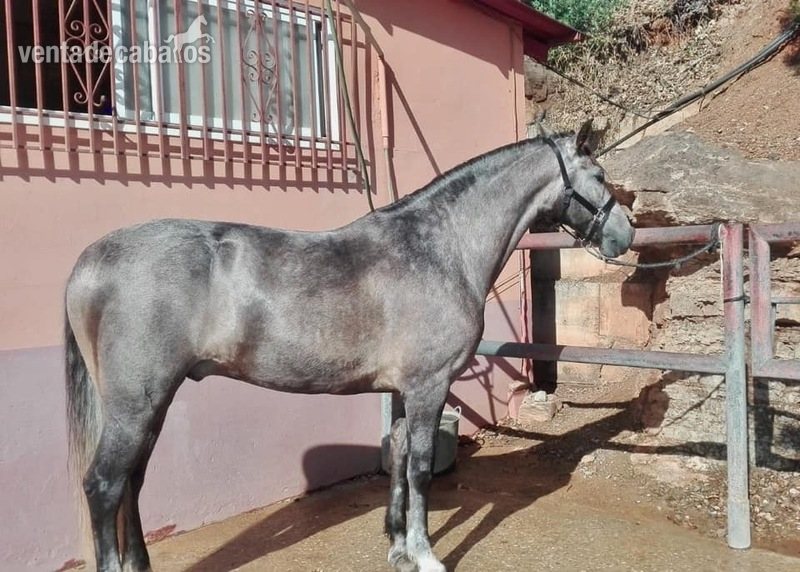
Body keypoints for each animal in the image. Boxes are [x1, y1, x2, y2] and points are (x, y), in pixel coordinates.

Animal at [64, 120, 634, 572]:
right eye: (600, 176)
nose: (624, 236)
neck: (440, 248)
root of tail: (90, 261)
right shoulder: (429, 386)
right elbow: (422, 467)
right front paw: (426, 555)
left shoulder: (406, 390)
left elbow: (400, 456)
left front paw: (399, 550)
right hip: (136, 405)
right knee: (104, 485)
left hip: (151, 404)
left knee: (132, 484)